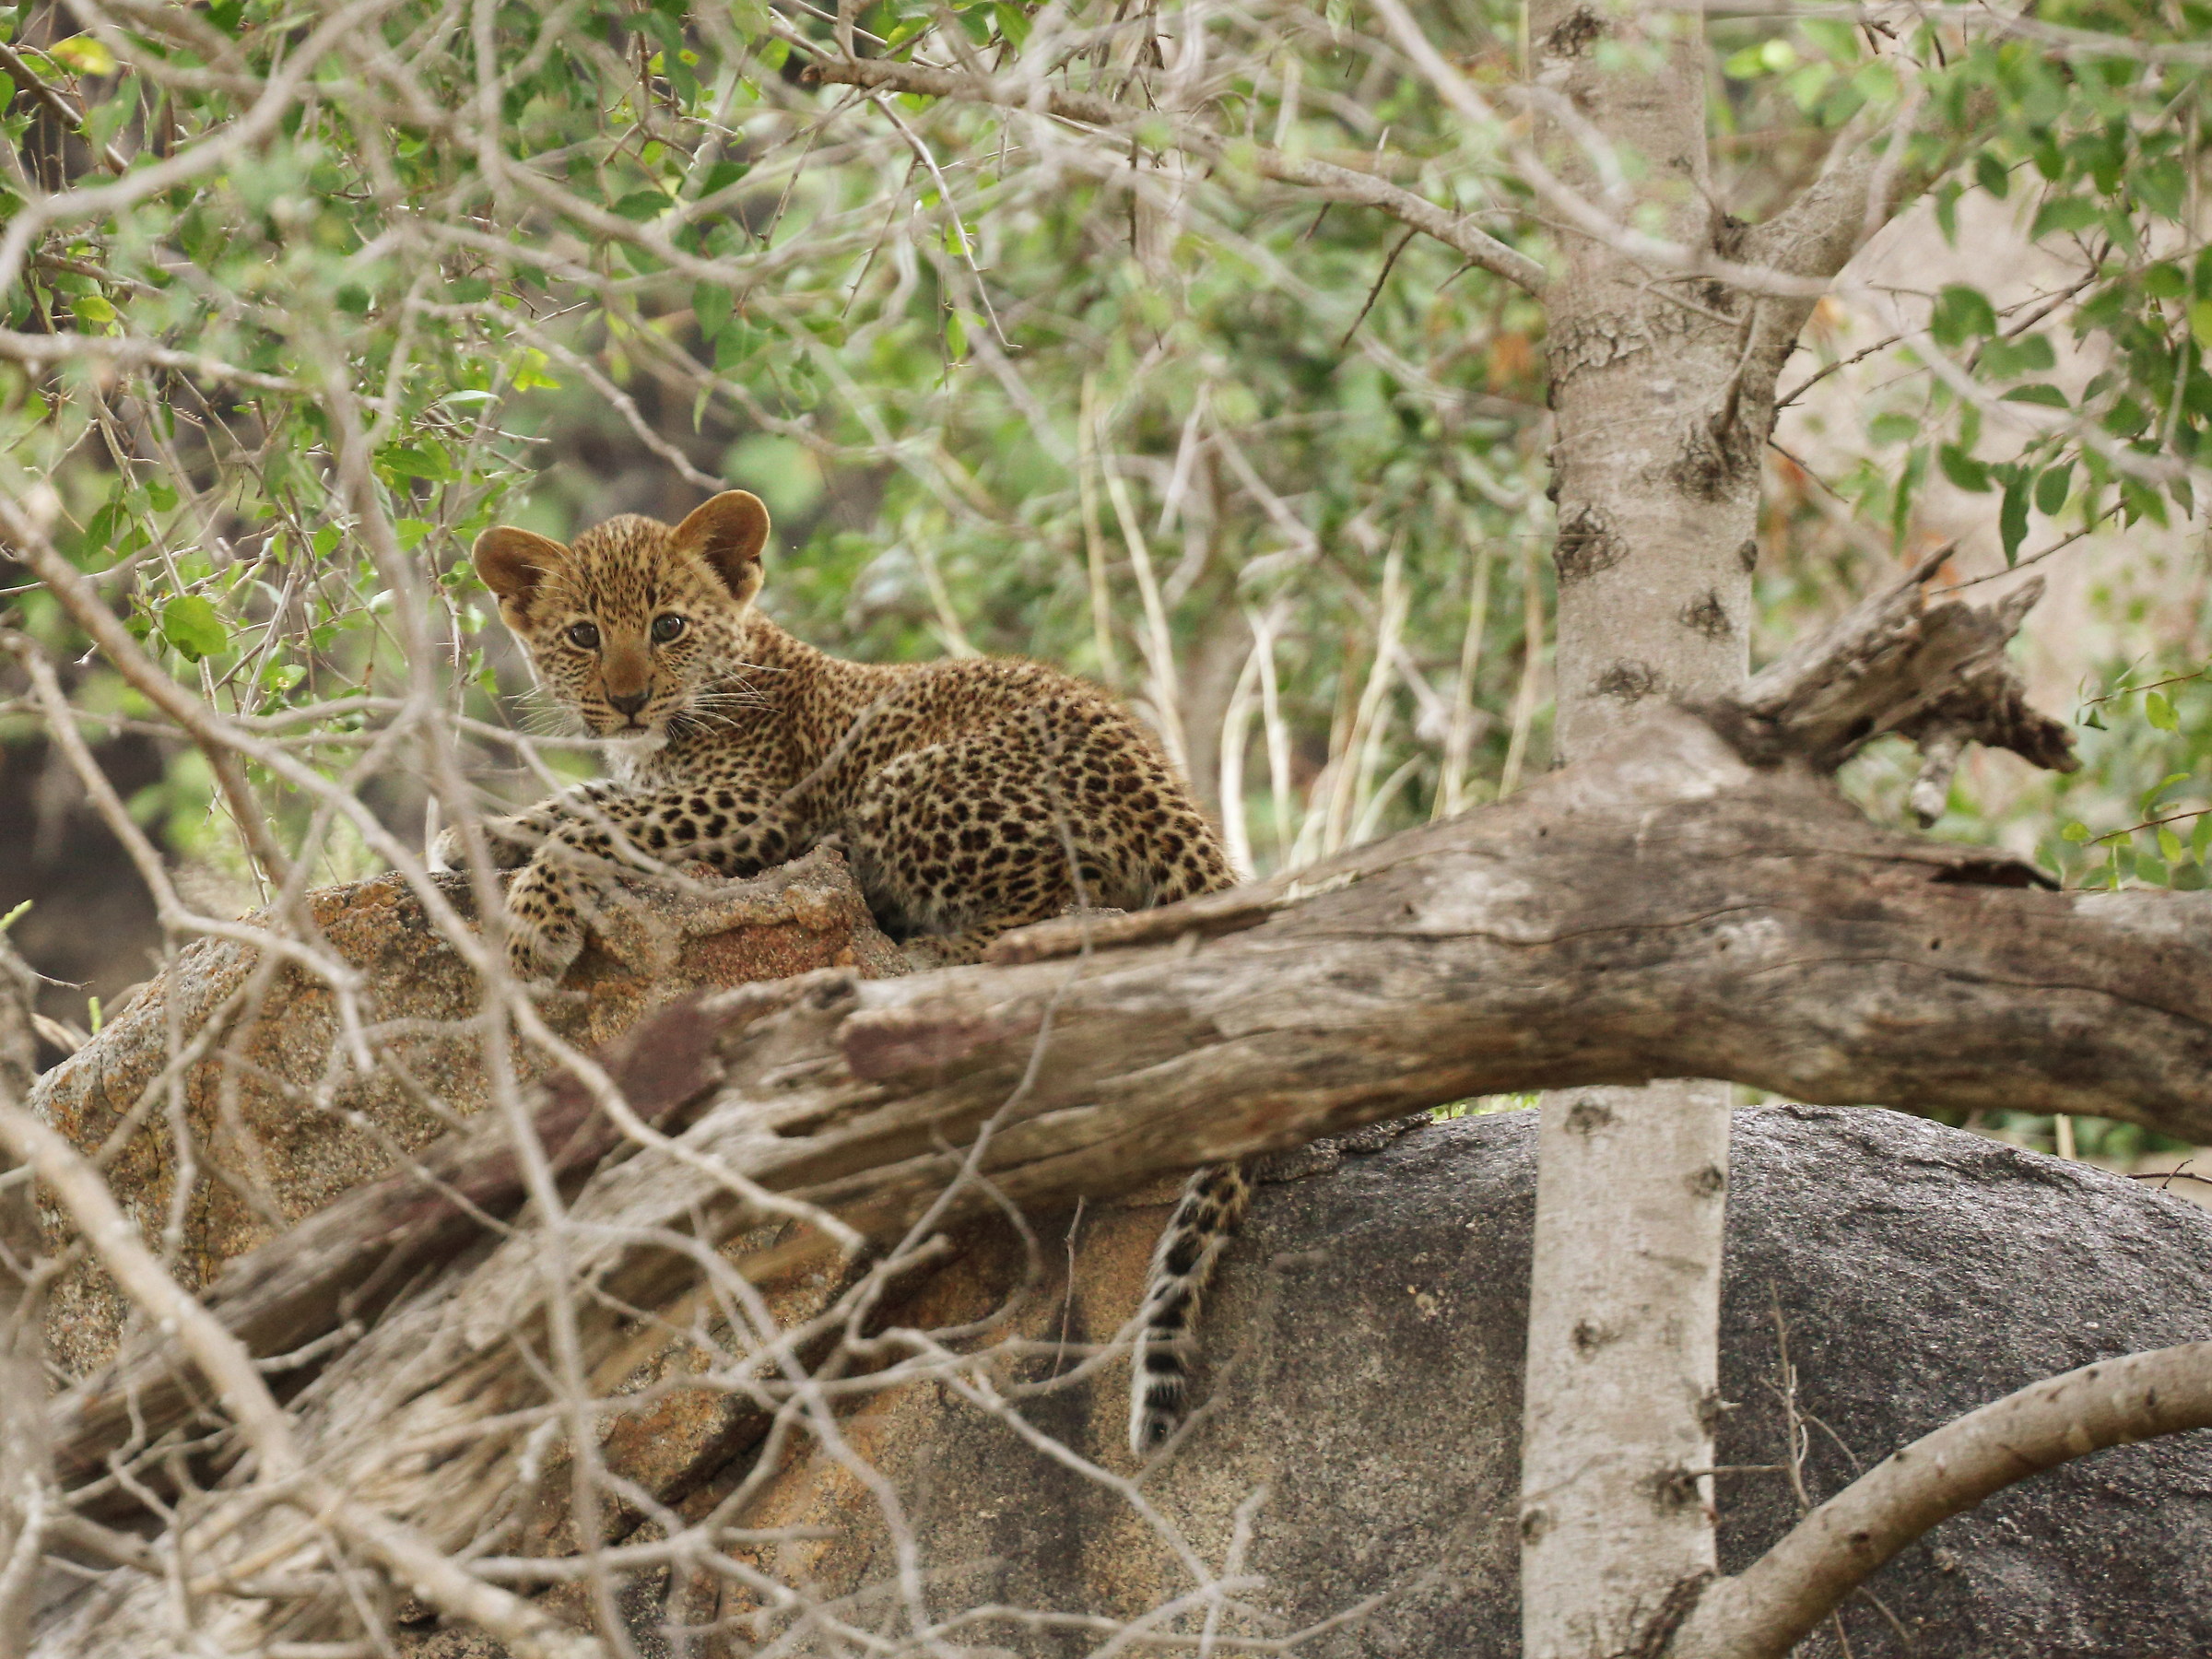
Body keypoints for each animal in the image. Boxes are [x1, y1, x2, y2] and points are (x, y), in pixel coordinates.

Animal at [437, 488, 1250, 1455]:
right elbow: (582, 799)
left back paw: (920, 950)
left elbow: (597, 825)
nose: (629, 700)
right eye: (583, 636)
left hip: (902, 787)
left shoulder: (752, 808)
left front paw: (531, 923)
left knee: (1073, 906)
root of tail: (1158, 774)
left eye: (668, 626)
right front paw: (473, 839)